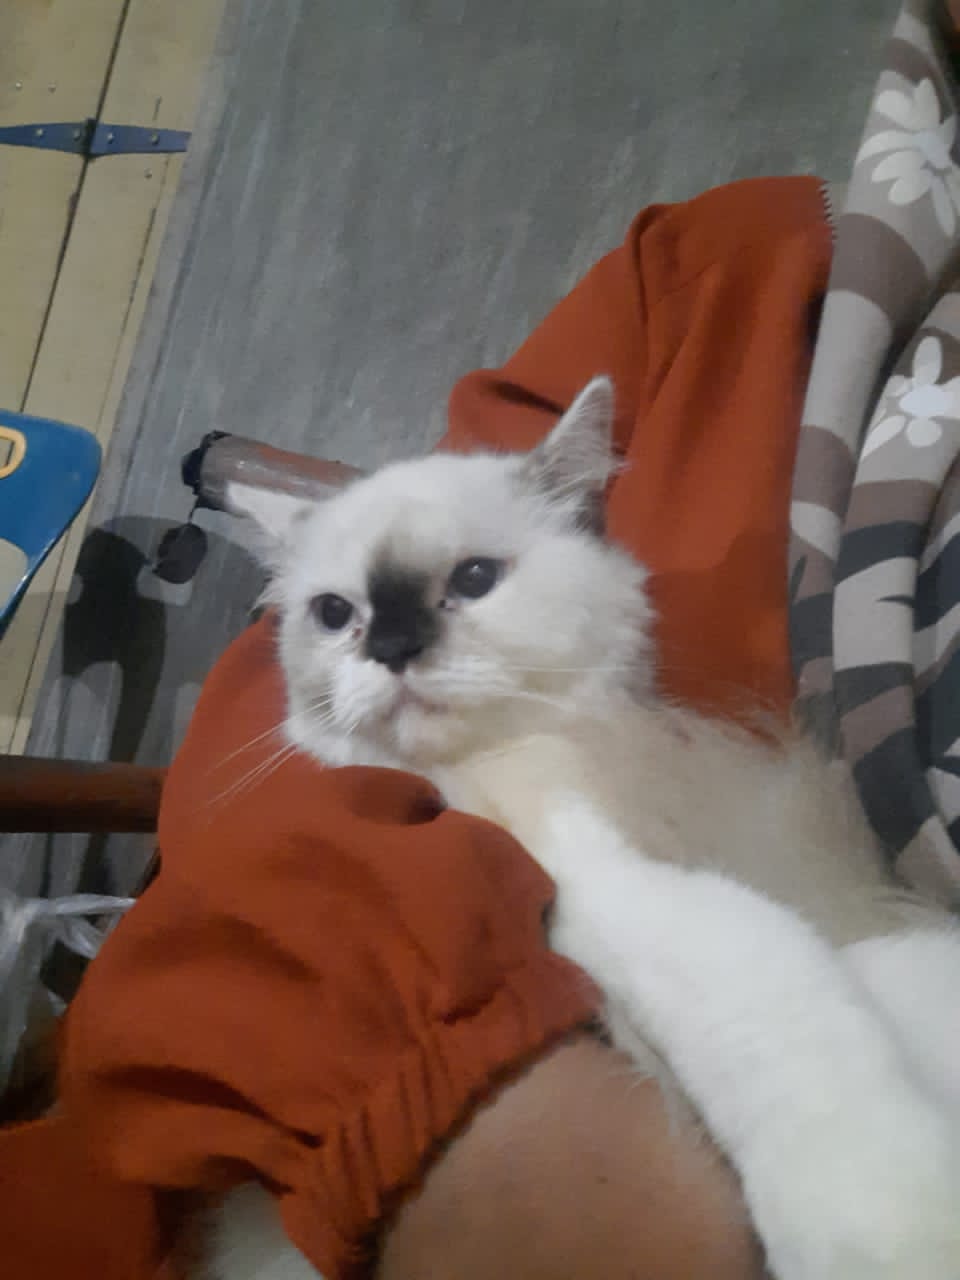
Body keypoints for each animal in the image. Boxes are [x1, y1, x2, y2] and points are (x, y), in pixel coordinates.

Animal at [207, 378, 960, 1280]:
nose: (391, 645)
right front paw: (896, 1230)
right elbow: (819, 1006)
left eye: (474, 578)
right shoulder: (616, 894)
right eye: (333, 613)